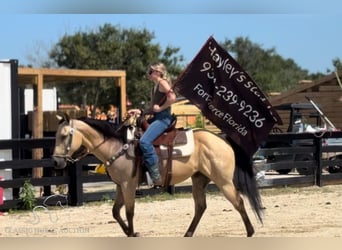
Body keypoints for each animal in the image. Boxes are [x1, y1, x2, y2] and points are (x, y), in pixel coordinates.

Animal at [52, 113, 264, 236]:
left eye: (64, 136)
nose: (55, 162)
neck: (118, 146)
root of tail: (221, 138)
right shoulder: (120, 186)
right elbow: (116, 212)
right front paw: (130, 232)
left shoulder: (129, 185)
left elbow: (129, 212)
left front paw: (132, 233)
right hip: (199, 179)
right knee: (201, 206)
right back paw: (188, 233)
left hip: (223, 181)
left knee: (238, 201)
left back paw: (250, 232)